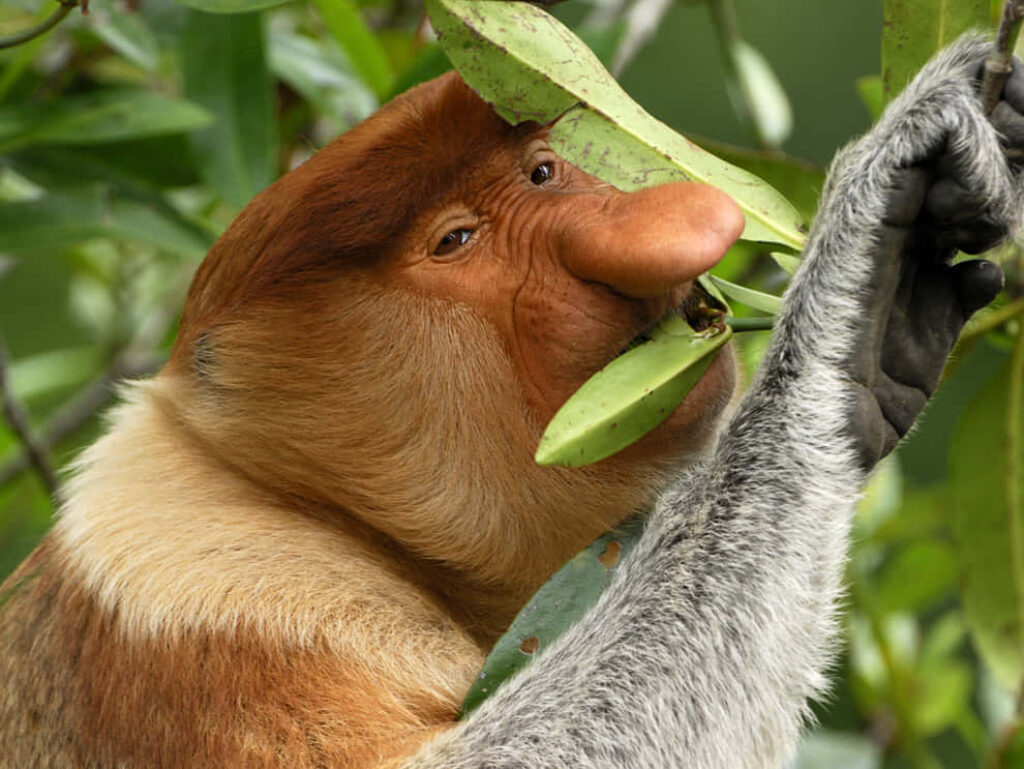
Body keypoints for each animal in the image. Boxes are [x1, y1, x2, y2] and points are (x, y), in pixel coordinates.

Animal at [1, 35, 1023, 769]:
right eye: (455, 240)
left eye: (545, 166)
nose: (664, 228)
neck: (299, 495)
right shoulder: (200, 597)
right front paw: (870, 268)